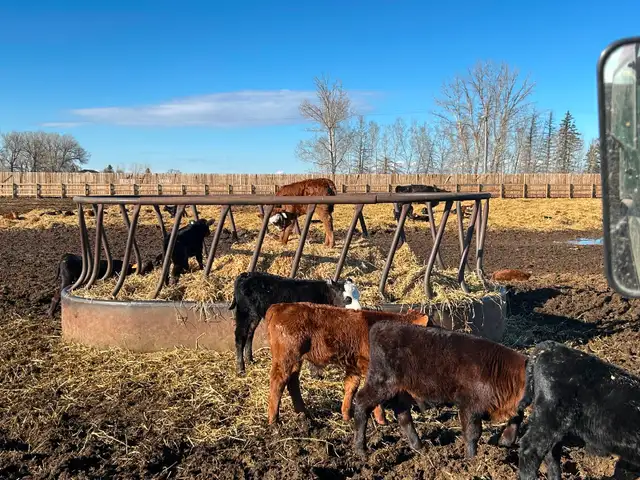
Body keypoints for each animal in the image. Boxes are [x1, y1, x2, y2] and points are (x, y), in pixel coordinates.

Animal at [229, 272, 361, 375]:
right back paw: (241, 369)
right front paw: (315, 373)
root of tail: (245, 275)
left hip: (254, 315)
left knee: (250, 334)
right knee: (240, 337)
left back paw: (250, 360)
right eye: (348, 298)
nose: (359, 310)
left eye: (358, 296)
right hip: (244, 313)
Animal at [266, 303, 431, 426]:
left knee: (292, 382)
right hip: (286, 357)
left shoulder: (354, 366)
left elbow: (351, 386)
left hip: (295, 360)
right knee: (278, 381)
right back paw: (274, 420)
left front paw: (347, 416)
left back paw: (303, 414)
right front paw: (382, 420)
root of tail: (279, 306)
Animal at [353, 321, 528, 459]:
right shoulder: (469, 405)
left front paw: (505, 442)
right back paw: (360, 450)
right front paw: (471, 460)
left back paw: (419, 447)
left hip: (399, 390)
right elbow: (472, 433)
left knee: (403, 415)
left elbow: (518, 417)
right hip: (381, 383)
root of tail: (381, 326)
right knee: (361, 403)